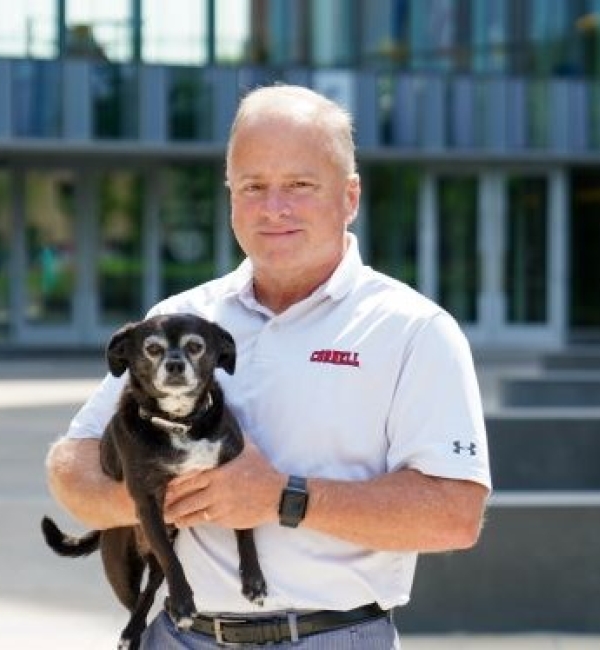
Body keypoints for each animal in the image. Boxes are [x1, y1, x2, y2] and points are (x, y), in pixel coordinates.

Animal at [42, 312, 268, 644]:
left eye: (195, 346)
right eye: (152, 348)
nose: (174, 364)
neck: (181, 424)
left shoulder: (237, 482)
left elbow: (245, 532)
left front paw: (253, 579)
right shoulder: (148, 503)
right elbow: (170, 558)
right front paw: (184, 602)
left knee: (151, 588)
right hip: (121, 568)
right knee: (139, 598)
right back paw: (134, 630)